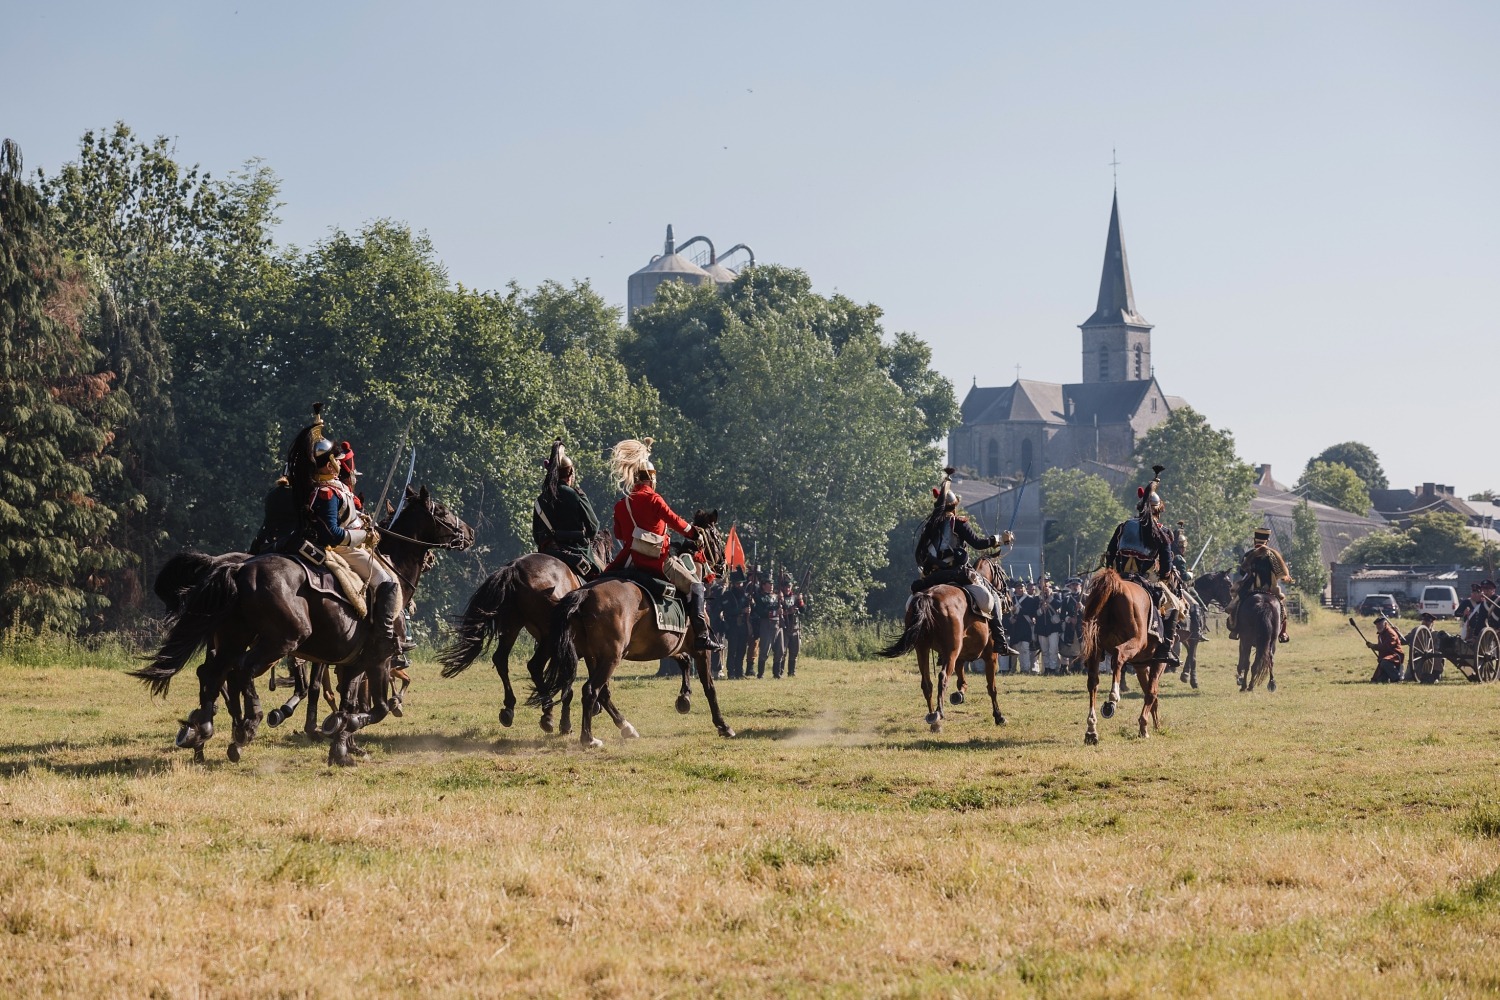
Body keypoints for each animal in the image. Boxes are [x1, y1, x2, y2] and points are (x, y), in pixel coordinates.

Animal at [139, 485, 474, 767]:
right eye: (442, 510)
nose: (469, 532)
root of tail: (237, 568)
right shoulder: (379, 659)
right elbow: (373, 707)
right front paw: (334, 731)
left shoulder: (352, 663)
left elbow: (348, 701)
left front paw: (341, 748)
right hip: (280, 641)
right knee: (238, 672)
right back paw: (246, 725)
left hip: (236, 638)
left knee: (213, 673)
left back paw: (204, 731)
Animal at [438, 530, 612, 734]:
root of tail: (514, 569)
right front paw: (569, 721)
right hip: (547, 638)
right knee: (535, 666)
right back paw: (547, 714)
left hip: (512, 626)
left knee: (501, 659)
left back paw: (509, 708)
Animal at [531, 512, 735, 746]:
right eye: (717, 536)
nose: (724, 566)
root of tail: (585, 593)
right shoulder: (700, 650)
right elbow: (709, 686)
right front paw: (722, 725)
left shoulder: (669, 646)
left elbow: (683, 662)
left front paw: (684, 699)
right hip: (611, 657)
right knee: (591, 690)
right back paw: (589, 738)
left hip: (594, 657)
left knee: (600, 692)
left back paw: (623, 727)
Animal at [876, 554, 1008, 734]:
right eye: (1001, 573)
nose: (1008, 599)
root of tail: (928, 597)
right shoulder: (990, 657)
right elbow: (991, 688)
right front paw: (999, 716)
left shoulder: (960, 656)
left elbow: (961, 680)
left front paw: (959, 694)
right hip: (951, 651)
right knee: (943, 677)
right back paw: (939, 713)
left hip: (922, 649)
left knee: (926, 683)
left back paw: (934, 721)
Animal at [1086, 569, 1176, 743]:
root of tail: (1116, 586)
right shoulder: (1158, 663)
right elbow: (1152, 693)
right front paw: (1144, 728)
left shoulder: (1140, 666)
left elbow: (1149, 692)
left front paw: (1152, 725)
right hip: (1135, 641)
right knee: (1118, 655)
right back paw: (1113, 698)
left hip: (1095, 649)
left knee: (1093, 682)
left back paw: (1091, 730)